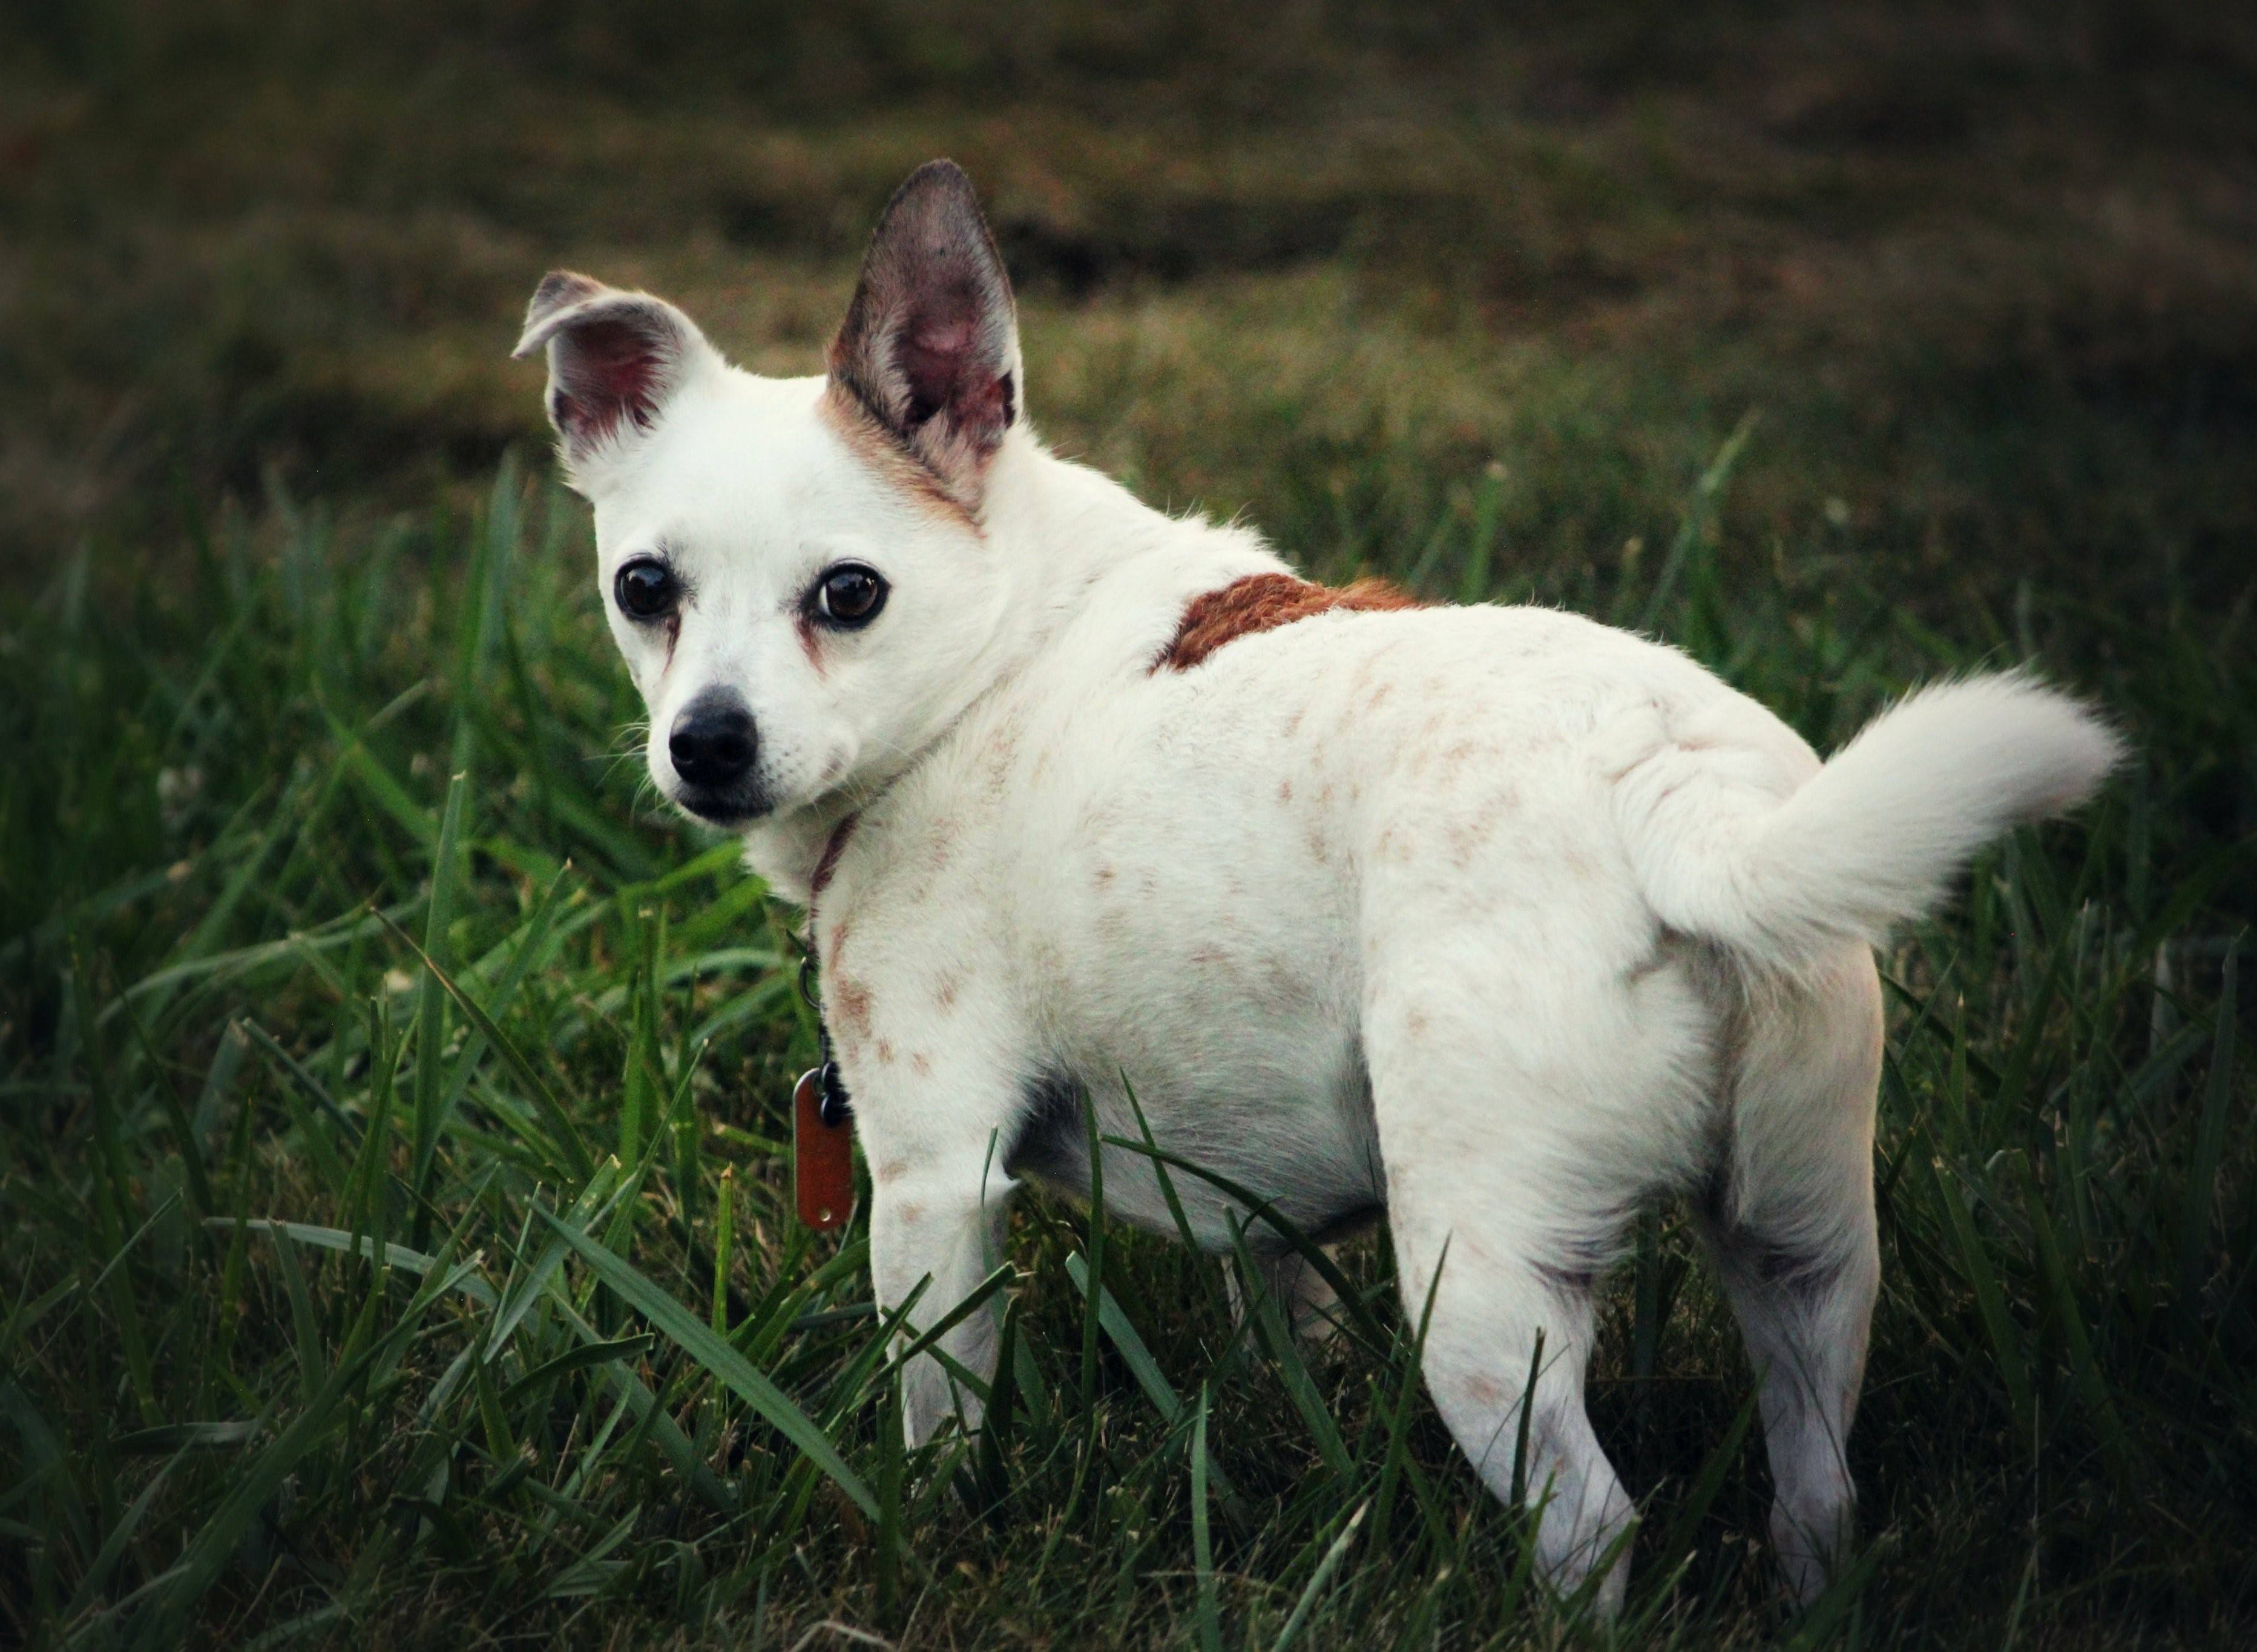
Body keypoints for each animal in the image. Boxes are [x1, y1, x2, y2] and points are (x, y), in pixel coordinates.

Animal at [512, 158, 2112, 1616]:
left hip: (1477, 1289)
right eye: (643, 590)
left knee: (1592, 1526)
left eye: (849, 597)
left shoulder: (932, 1179)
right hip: (1802, 1241)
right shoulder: (1247, 1184)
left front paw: (925, 1547)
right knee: (1815, 1479)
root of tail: (1663, 788)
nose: (705, 744)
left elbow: (936, 1420)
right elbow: (1278, 1328)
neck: (999, 651)